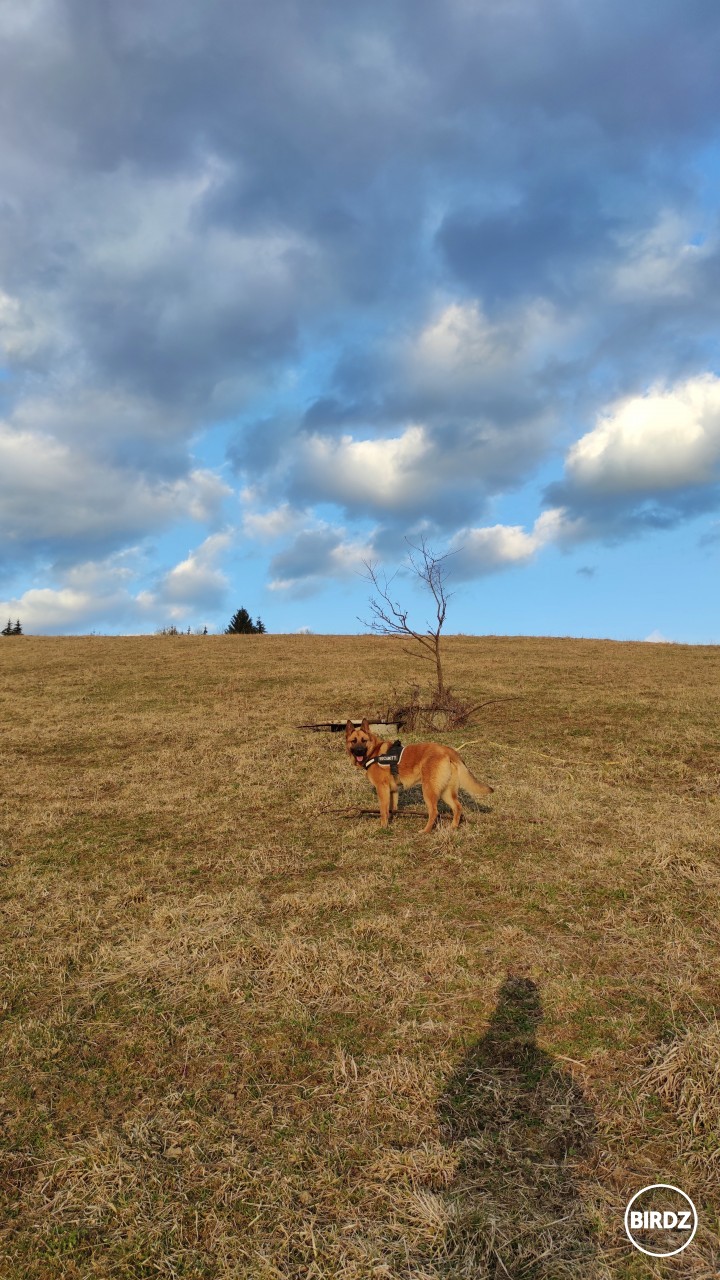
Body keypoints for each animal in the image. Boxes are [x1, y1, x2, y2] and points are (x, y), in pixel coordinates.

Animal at [345, 716, 489, 834]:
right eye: (354, 741)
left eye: (364, 740)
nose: (359, 751)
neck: (374, 752)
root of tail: (447, 750)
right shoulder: (393, 790)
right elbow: (392, 808)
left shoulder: (382, 788)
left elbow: (383, 810)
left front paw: (383, 826)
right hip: (445, 792)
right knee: (457, 807)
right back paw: (453, 827)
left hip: (428, 790)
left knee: (434, 812)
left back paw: (426, 831)